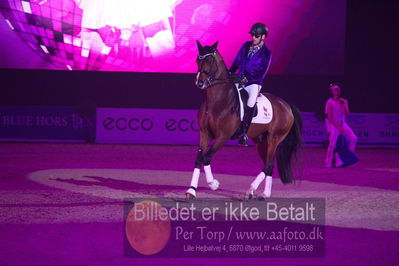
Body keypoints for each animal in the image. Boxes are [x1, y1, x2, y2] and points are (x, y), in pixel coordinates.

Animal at [188, 41, 304, 200]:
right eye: (197, 60)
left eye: (210, 61)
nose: (200, 83)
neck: (217, 101)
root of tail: (286, 105)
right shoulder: (205, 133)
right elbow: (199, 159)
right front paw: (191, 191)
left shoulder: (223, 136)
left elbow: (207, 157)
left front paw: (214, 184)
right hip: (261, 141)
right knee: (269, 165)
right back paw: (264, 194)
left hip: (275, 138)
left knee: (268, 165)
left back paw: (250, 191)